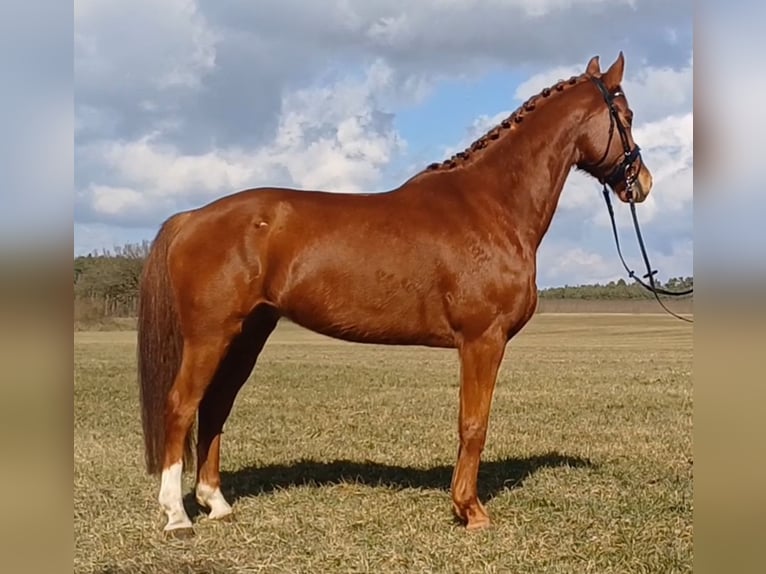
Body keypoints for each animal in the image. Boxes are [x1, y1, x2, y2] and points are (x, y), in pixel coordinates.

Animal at [137, 52, 652, 537]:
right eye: (626, 116)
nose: (642, 183)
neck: (492, 205)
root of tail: (191, 217)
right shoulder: (482, 340)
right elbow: (473, 424)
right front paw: (470, 511)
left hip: (247, 334)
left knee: (215, 405)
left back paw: (216, 504)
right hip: (210, 336)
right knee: (181, 405)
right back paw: (177, 516)